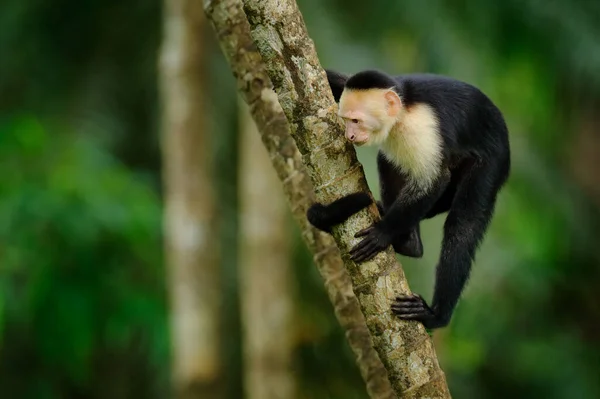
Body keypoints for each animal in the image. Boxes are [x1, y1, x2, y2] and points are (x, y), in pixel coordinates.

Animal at [310, 69, 510, 332]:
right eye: (345, 119)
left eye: (356, 121)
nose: (349, 135)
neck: (403, 110)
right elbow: (338, 81)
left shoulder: (421, 127)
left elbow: (434, 181)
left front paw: (383, 232)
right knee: (390, 159)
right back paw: (409, 242)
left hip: (492, 161)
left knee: (462, 226)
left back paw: (435, 314)